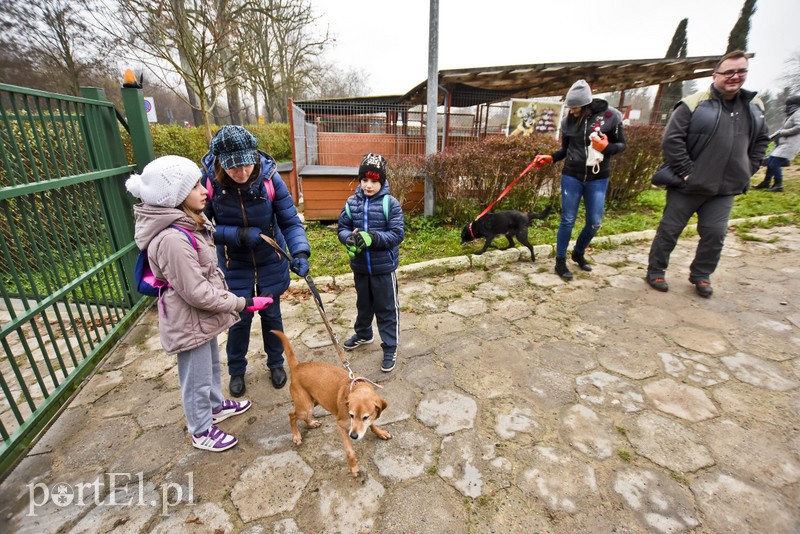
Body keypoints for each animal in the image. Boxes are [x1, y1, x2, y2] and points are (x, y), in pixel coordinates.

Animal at [272, 330, 390, 478]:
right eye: (351, 415)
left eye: (365, 417)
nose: (353, 436)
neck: (355, 386)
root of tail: (297, 366)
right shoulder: (341, 427)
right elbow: (350, 451)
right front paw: (353, 467)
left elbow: (372, 424)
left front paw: (380, 432)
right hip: (305, 406)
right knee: (291, 415)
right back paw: (296, 435)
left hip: (313, 402)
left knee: (300, 416)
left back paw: (311, 423)